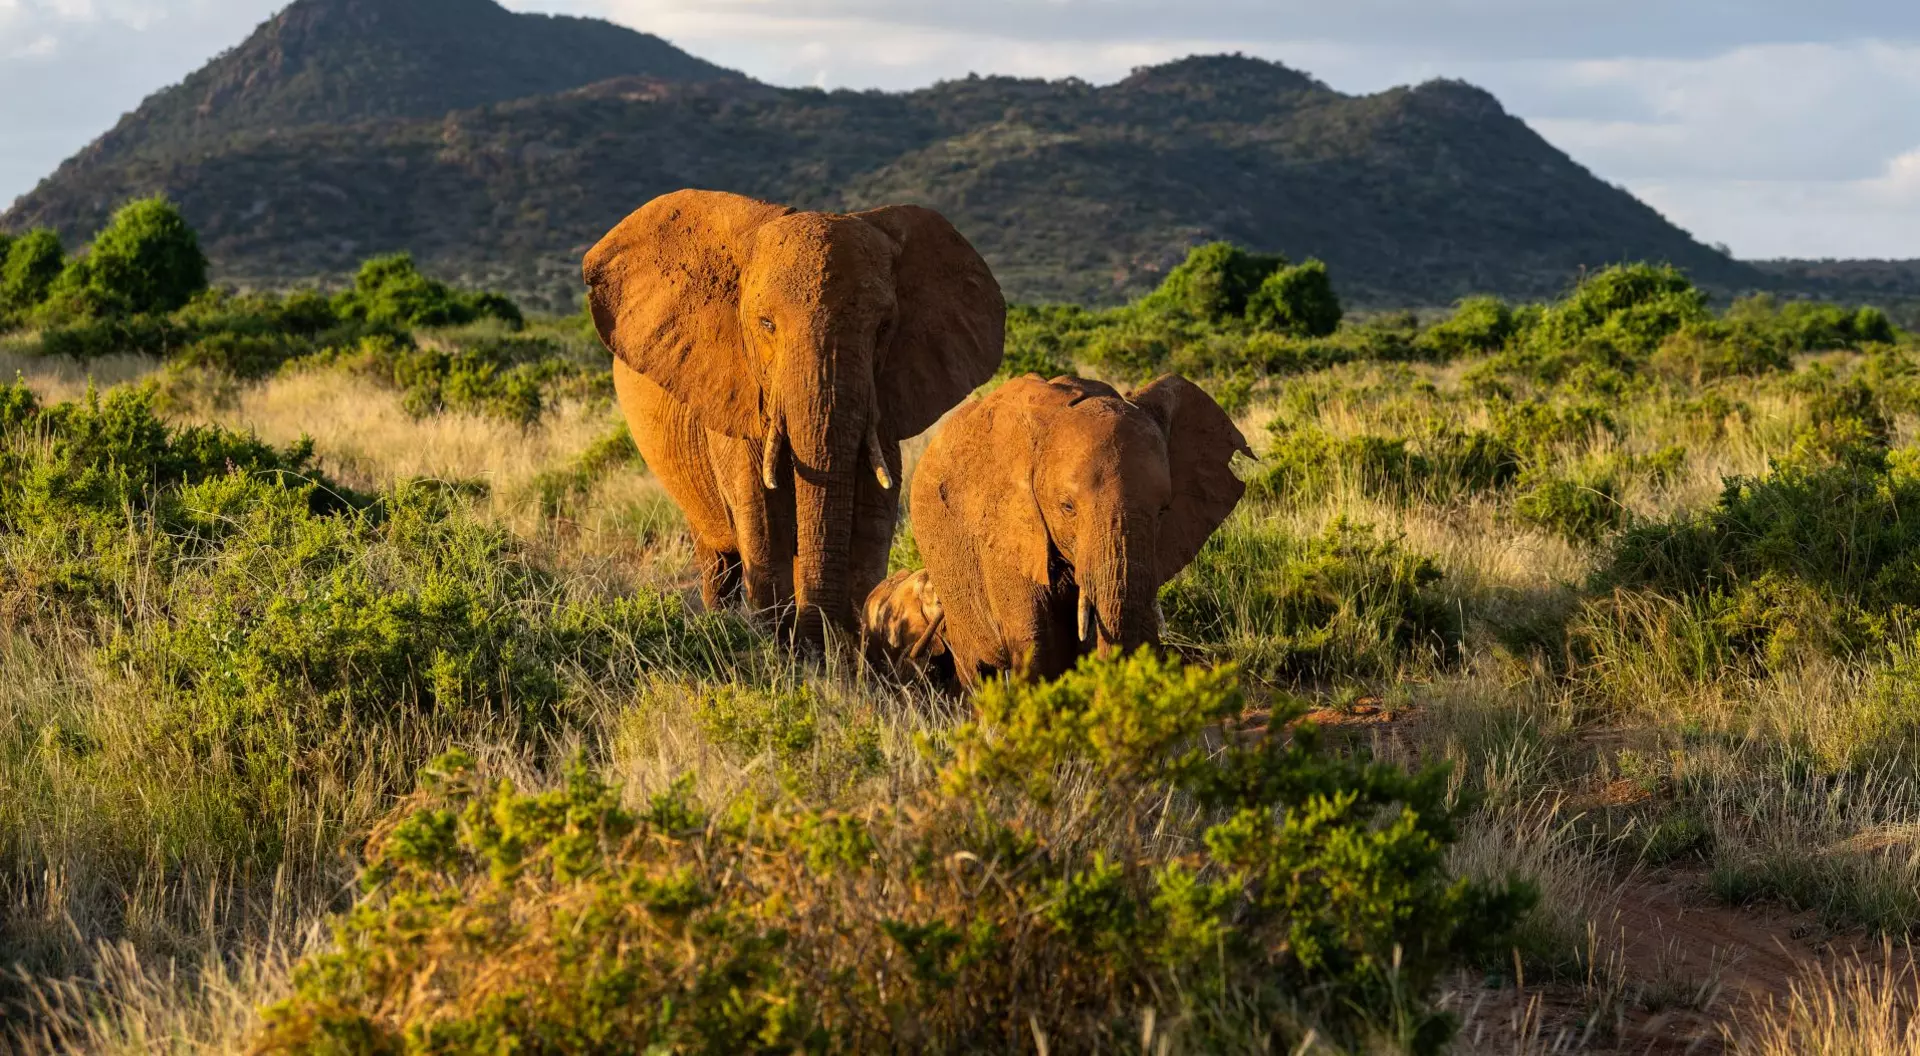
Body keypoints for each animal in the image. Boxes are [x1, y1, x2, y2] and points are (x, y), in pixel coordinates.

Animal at [584, 190, 1005, 647]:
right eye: (766, 323)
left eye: (884, 328)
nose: (817, 639)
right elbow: (763, 520)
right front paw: (784, 646)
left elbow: (873, 516)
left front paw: (844, 645)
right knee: (718, 558)